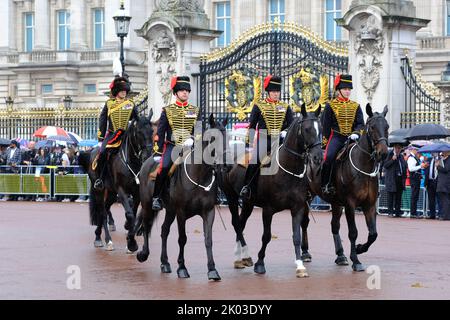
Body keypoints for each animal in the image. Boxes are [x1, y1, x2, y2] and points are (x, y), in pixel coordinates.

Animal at [136, 114, 229, 282]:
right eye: (212, 138)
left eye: (228, 137)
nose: (226, 165)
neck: (199, 176)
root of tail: (150, 159)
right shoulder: (181, 212)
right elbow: (182, 238)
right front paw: (182, 268)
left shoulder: (208, 212)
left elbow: (208, 240)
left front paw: (212, 269)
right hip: (147, 204)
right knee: (146, 225)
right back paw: (143, 254)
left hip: (170, 210)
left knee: (164, 230)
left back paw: (165, 263)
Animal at [222, 105, 324, 278]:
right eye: (307, 129)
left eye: (321, 129)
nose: (317, 158)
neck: (288, 170)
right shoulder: (268, 210)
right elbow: (266, 236)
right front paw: (260, 263)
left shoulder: (298, 208)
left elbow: (296, 236)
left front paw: (300, 265)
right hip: (231, 197)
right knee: (236, 223)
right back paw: (242, 257)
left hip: (248, 202)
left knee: (241, 223)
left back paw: (240, 258)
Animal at [312, 104, 388, 272]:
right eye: (372, 127)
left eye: (387, 126)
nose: (383, 153)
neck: (363, 166)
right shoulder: (350, 204)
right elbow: (353, 232)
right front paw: (356, 260)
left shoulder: (369, 205)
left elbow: (373, 234)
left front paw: (360, 249)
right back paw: (305, 253)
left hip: (335, 203)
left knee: (334, 226)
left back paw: (340, 256)